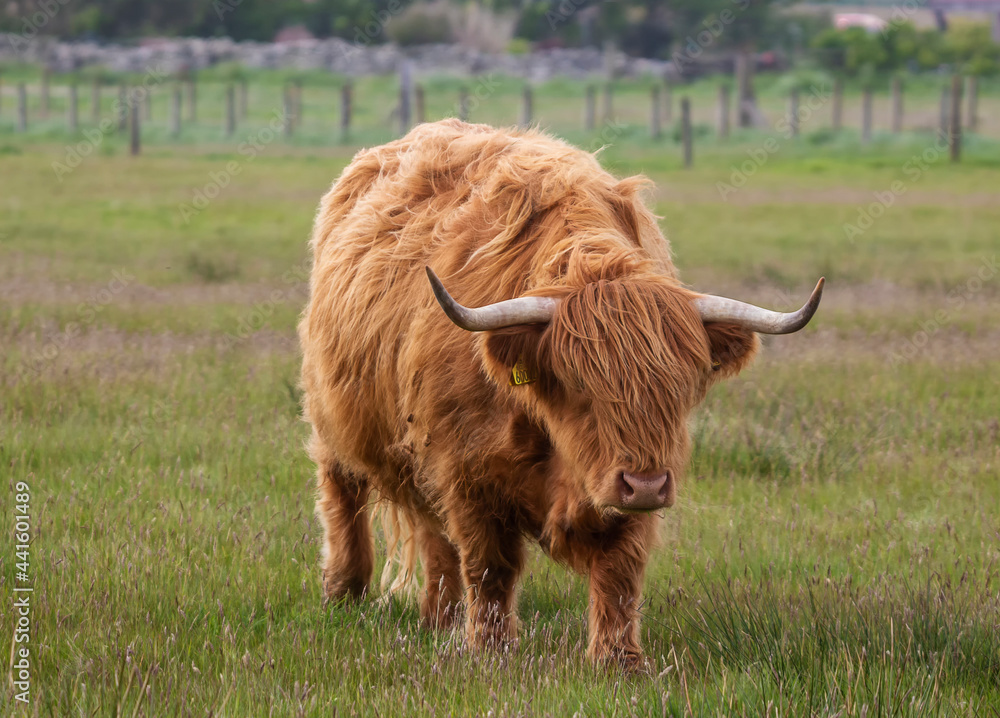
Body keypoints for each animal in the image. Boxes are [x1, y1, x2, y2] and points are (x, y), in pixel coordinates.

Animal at [298, 119, 823, 668]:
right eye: (579, 387)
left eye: (683, 387)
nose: (646, 485)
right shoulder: (466, 472)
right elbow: (489, 566)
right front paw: (490, 650)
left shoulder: (620, 491)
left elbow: (619, 574)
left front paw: (618, 662)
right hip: (334, 420)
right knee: (344, 495)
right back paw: (344, 593)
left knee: (432, 533)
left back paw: (437, 619)